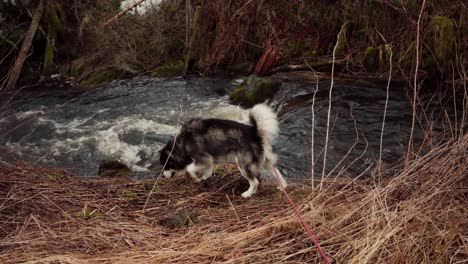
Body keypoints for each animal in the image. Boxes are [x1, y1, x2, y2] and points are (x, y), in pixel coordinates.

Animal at [159, 103, 288, 198]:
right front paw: (203, 178)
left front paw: (196, 178)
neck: (182, 143)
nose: (163, 177)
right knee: (277, 173)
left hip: (243, 165)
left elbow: (190, 169)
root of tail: (254, 132)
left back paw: (247, 194)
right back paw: (282, 187)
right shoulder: (209, 159)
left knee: (255, 182)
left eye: (165, 166)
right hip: (266, 162)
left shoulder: (203, 158)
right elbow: (208, 171)